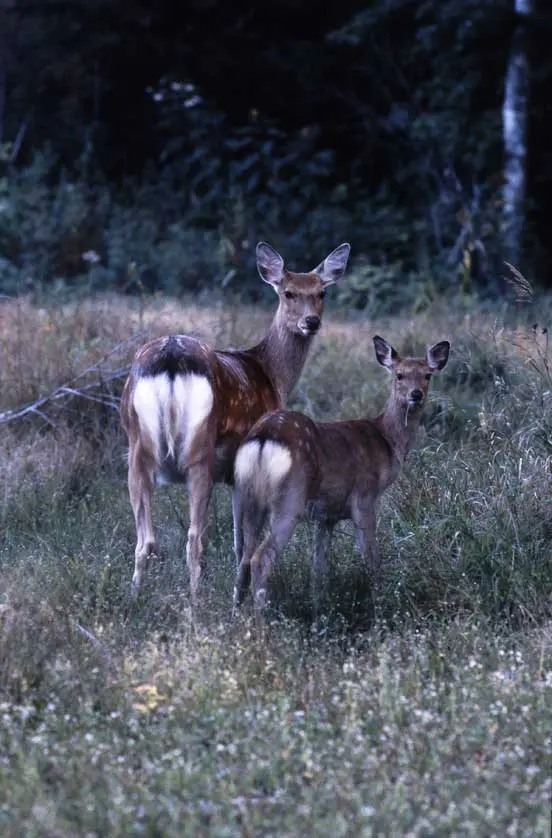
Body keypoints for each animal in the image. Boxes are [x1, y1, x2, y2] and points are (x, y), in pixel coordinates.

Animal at [121, 240, 350, 600]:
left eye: (321, 292)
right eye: (288, 293)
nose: (311, 321)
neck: (271, 374)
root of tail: (170, 356)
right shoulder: (239, 469)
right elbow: (241, 544)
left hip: (135, 449)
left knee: (145, 541)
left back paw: (135, 599)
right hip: (200, 450)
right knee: (195, 539)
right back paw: (196, 605)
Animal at [232, 336, 448, 616]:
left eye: (427, 375)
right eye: (399, 375)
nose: (416, 394)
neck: (386, 442)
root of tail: (263, 437)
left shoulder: (326, 516)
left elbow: (319, 569)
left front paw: (320, 610)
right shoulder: (364, 497)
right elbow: (371, 558)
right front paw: (381, 600)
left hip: (245, 497)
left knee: (243, 559)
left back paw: (235, 616)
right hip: (289, 500)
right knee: (260, 559)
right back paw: (262, 619)